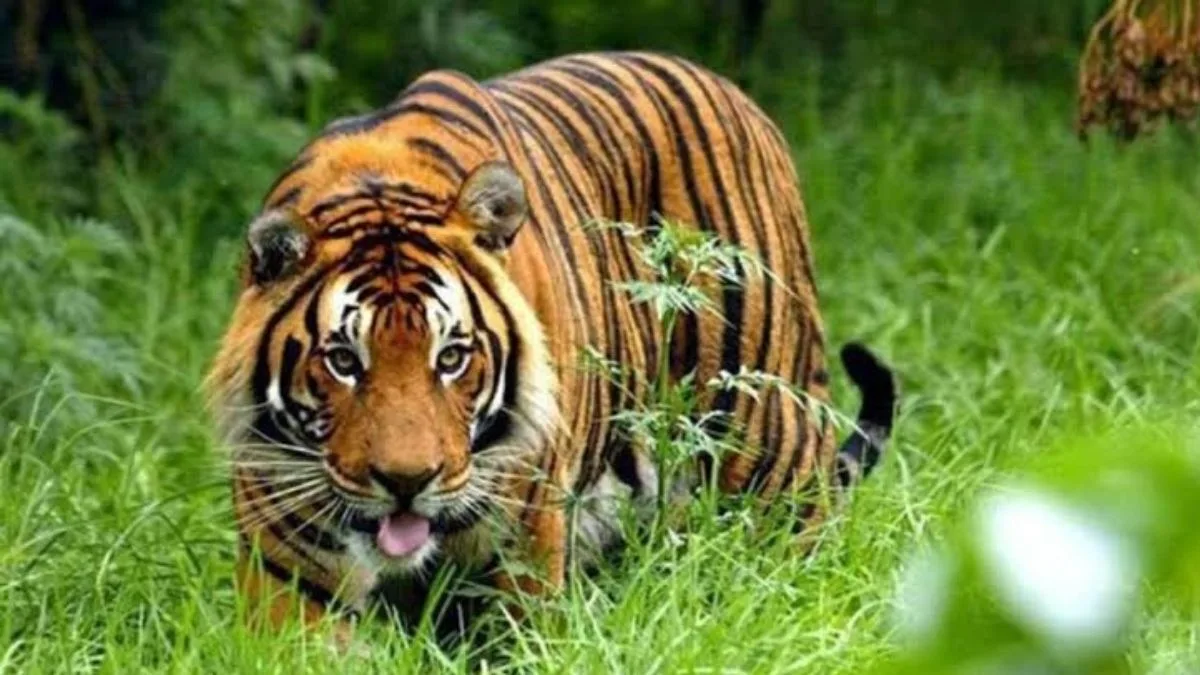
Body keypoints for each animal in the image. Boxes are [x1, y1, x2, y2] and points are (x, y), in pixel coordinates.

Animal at [205, 51, 896, 635]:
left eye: (451, 358)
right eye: (344, 362)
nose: (407, 482)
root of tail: (737, 94)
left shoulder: (523, 545)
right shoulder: (291, 576)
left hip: (767, 447)